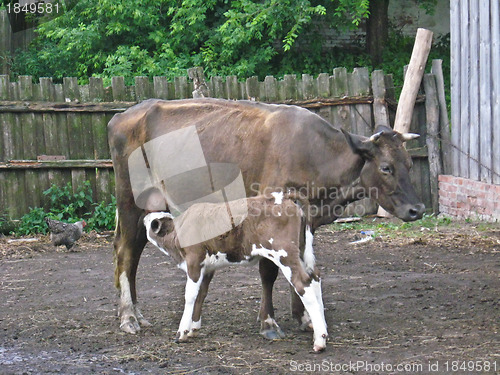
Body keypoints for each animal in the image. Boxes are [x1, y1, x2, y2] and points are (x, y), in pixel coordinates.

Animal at [142, 194, 328, 352]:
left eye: (150, 222)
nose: (144, 217)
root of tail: (284, 196)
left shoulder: (194, 262)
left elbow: (190, 296)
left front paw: (181, 333)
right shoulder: (207, 268)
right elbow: (201, 294)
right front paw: (194, 329)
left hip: (285, 254)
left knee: (303, 283)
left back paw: (320, 341)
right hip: (302, 251)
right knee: (315, 277)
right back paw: (322, 331)